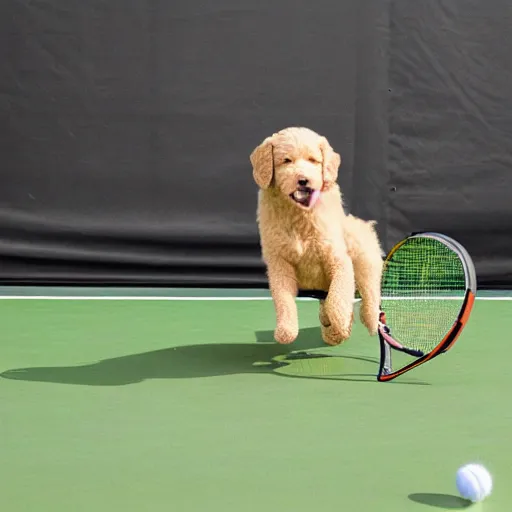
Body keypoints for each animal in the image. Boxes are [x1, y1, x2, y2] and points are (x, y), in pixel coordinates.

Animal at [252, 126, 384, 346]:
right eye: (286, 160)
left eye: (313, 160)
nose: (303, 180)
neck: (299, 214)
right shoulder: (279, 264)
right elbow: (283, 300)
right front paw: (286, 330)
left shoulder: (338, 261)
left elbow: (337, 299)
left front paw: (341, 323)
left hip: (359, 242)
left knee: (369, 286)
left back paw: (368, 319)